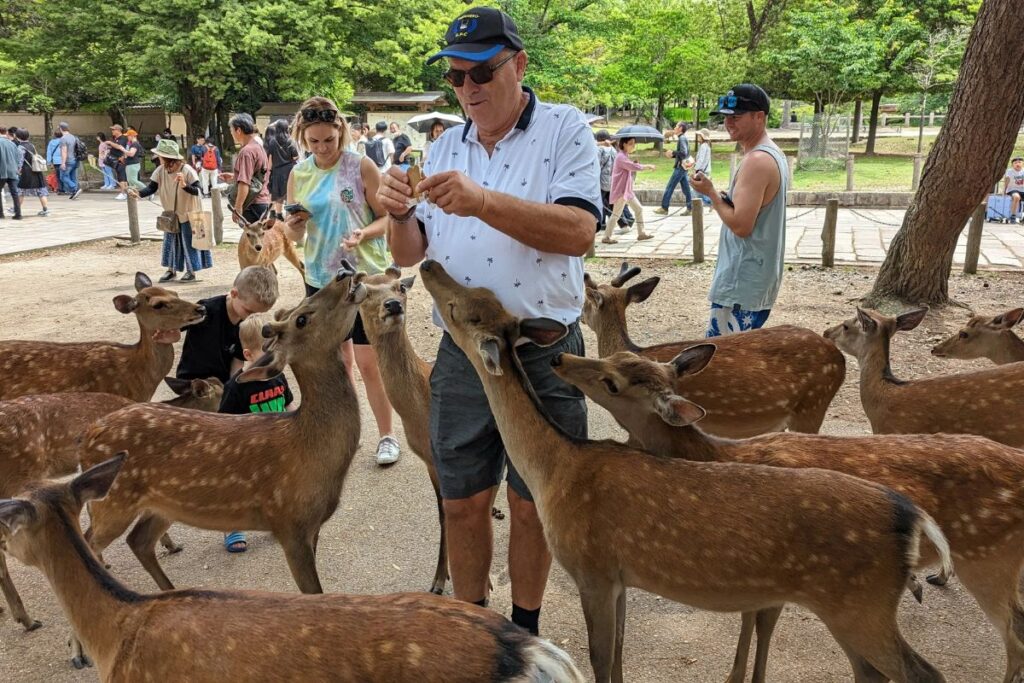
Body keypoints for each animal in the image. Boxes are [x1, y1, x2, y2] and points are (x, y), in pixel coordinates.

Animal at [76, 264, 373, 600]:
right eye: (301, 318)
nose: (344, 273)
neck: (309, 447)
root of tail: (88, 436)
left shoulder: (314, 526)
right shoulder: (290, 522)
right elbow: (313, 594)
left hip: (162, 504)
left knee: (138, 540)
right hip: (113, 502)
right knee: (89, 541)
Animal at [552, 347, 1024, 683]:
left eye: (612, 382)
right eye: (616, 357)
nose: (561, 360)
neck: (719, 455)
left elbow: (761, 622)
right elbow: (750, 619)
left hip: (987, 560)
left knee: (1013, 635)